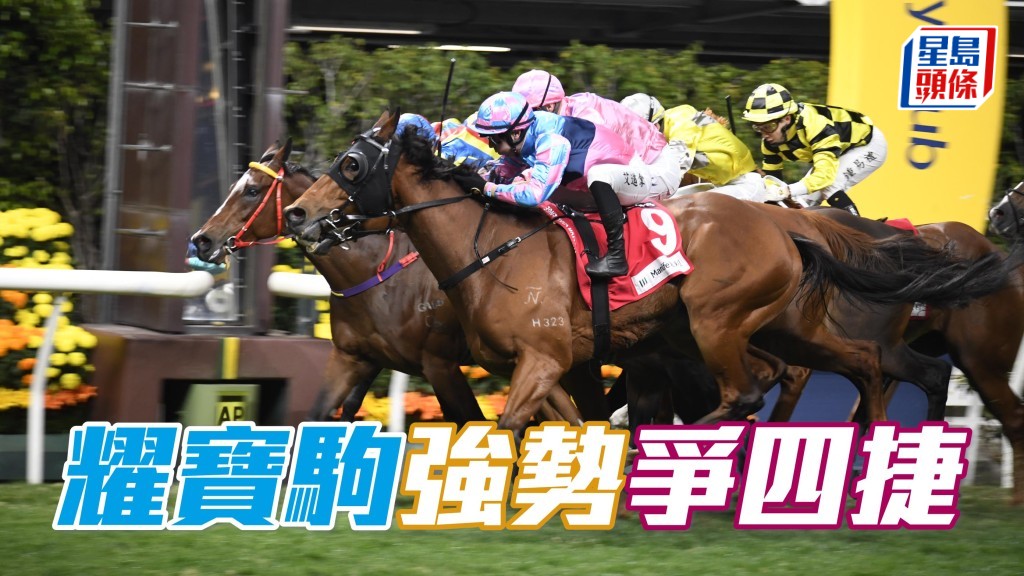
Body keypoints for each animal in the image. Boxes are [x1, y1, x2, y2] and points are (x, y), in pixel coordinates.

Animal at [281, 110, 1009, 439]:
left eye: (351, 164)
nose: (300, 213)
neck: (489, 253)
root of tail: (784, 225)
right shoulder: (555, 366)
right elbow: (572, 424)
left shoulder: (542, 358)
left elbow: (508, 425)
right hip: (784, 328)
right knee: (859, 363)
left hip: (716, 322)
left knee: (750, 392)